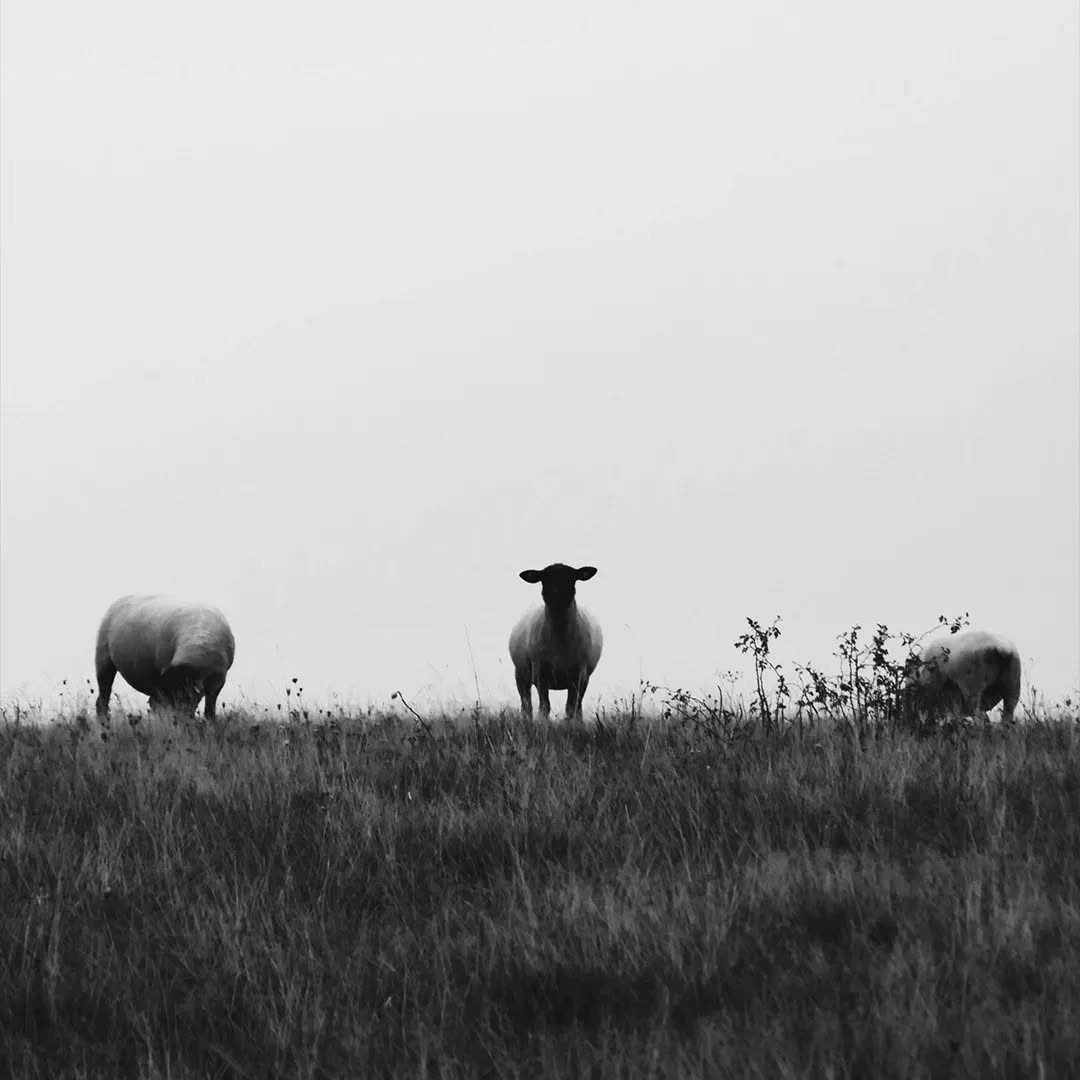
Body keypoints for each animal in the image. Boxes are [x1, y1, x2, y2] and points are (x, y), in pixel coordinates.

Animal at [95, 595, 236, 720]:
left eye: (186, 701)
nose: (177, 723)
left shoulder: (218, 679)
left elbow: (210, 706)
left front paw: (211, 721)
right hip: (103, 658)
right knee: (103, 695)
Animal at [508, 563, 603, 722]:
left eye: (572, 579)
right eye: (544, 580)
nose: (556, 598)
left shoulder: (578, 675)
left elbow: (571, 708)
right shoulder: (540, 673)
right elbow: (544, 707)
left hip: (584, 679)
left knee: (578, 706)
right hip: (521, 674)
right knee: (526, 706)